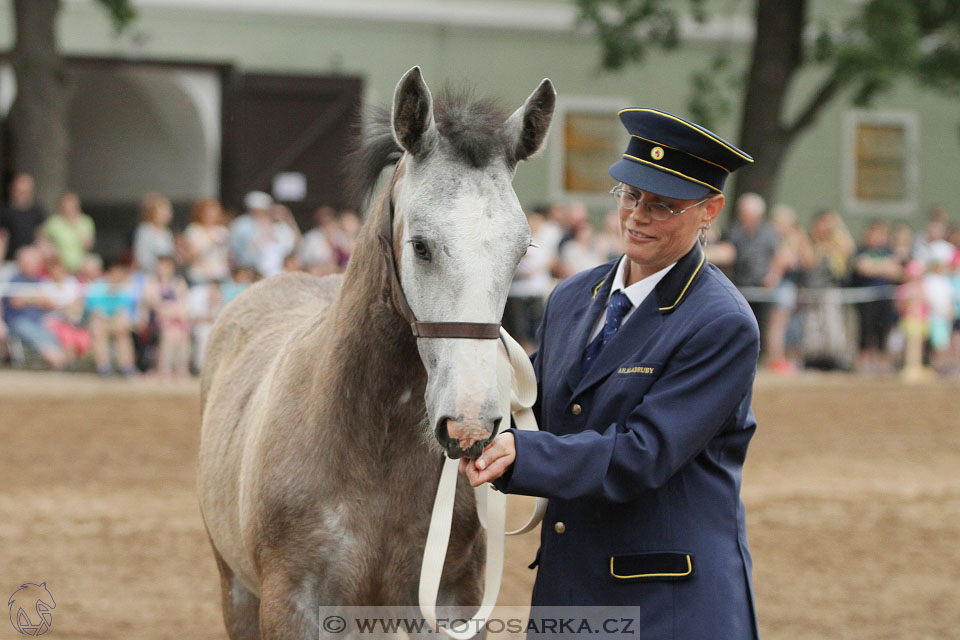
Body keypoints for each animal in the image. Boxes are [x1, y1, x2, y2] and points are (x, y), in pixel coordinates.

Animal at [197, 66, 556, 640]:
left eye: (522, 251)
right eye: (421, 246)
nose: (470, 426)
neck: (371, 450)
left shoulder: (450, 603)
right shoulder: (292, 607)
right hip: (236, 590)